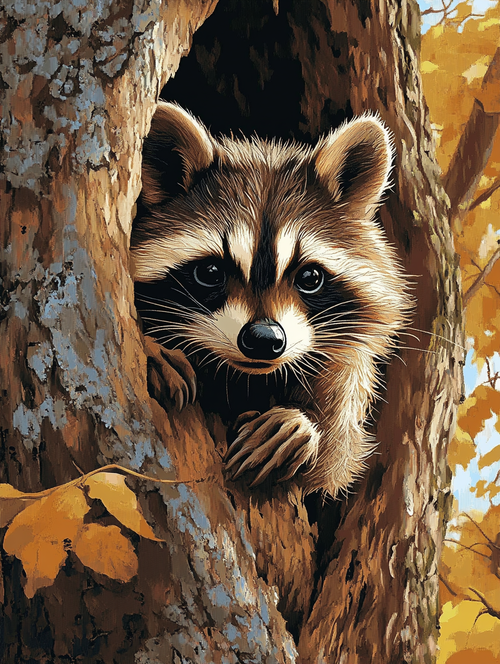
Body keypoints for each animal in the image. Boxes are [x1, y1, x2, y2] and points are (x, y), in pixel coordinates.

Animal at [131, 101, 409, 498]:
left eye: (309, 278)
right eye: (211, 272)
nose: (263, 339)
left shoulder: (348, 367)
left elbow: (338, 457)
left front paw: (302, 424)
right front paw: (153, 348)